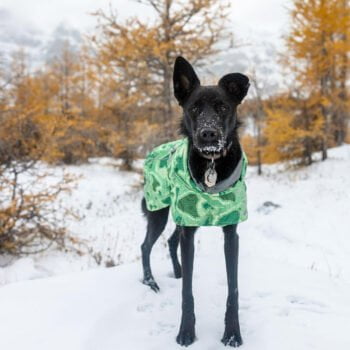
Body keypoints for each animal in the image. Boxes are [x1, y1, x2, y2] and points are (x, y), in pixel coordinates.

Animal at [139, 56, 249, 346]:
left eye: (223, 107)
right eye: (194, 108)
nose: (208, 134)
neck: (211, 163)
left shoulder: (231, 233)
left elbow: (233, 290)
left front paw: (232, 333)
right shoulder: (189, 229)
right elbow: (187, 294)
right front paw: (186, 332)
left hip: (179, 216)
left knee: (170, 241)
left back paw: (176, 273)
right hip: (160, 210)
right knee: (146, 246)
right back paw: (150, 282)